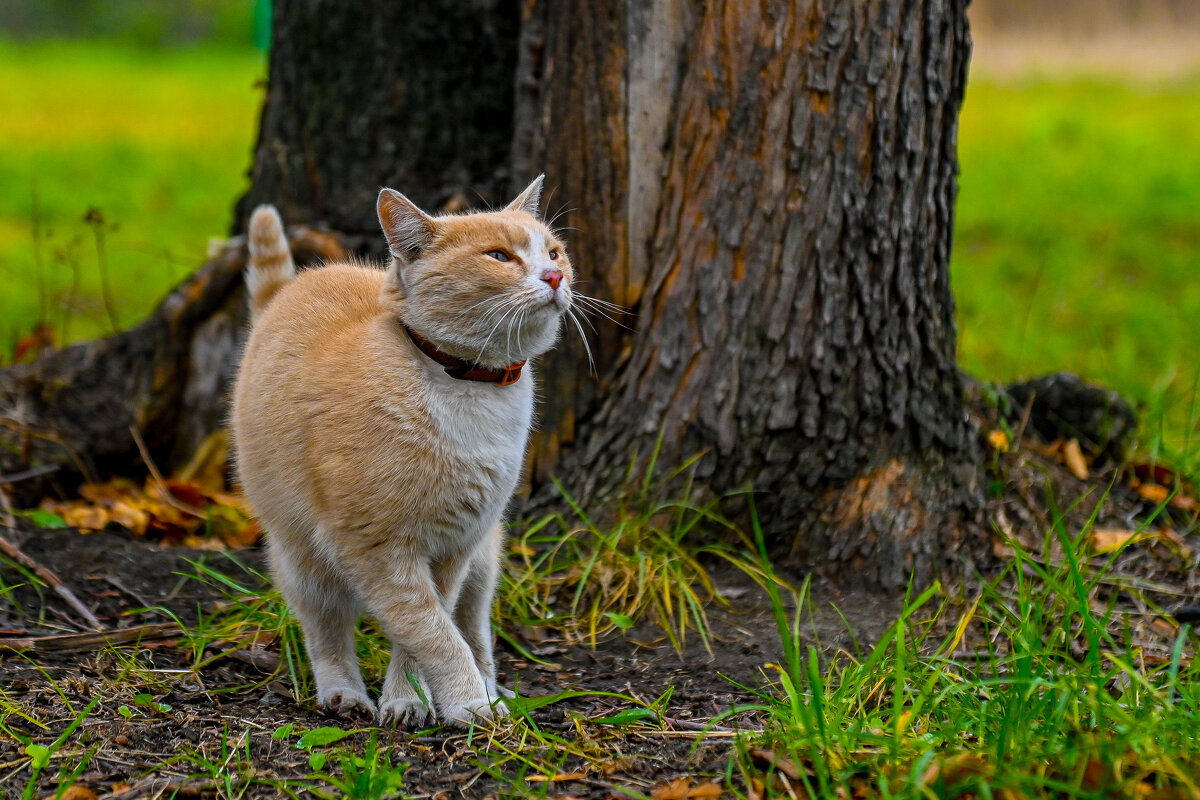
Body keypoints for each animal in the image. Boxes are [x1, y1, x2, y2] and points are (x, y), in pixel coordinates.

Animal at [234, 178, 576, 729]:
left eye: (553, 251)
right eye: (499, 256)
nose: (555, 275)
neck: (468, 386)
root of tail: (286, 292)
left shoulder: (454, 547)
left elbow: (428, 633)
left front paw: (414, 698)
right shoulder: (378, 550)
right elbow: (431, 634)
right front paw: (464, 703)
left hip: (483, 560)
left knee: (475, 628)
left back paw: (491, 686)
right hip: (304, 560)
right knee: (326, 631)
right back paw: (344, 693)